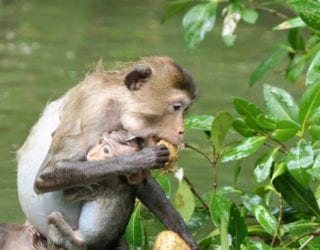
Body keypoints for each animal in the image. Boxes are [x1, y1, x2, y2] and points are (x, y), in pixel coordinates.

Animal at [17, 56, 199, 250]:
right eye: (176, 107)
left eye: (185, 110)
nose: (181, 131)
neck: (120, 103)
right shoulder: (94, 110)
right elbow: (46, 175)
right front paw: (141, 159)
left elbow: (143, 183)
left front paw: (186, 236)